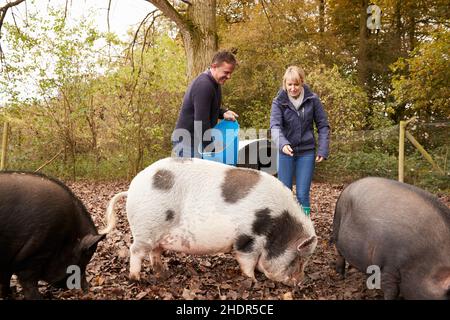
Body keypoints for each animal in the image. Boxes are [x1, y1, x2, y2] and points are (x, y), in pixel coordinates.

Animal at [101, 157, 316, 284]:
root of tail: (131, 189)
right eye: (298, 258)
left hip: (155, 234)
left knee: (155, 252)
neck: (277, 226)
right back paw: (137, 279)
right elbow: (246, 261)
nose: (301, 282)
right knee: (135, 251)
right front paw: (253, 281)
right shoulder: (248, 238)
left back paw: (163, 273)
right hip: (146, 228)